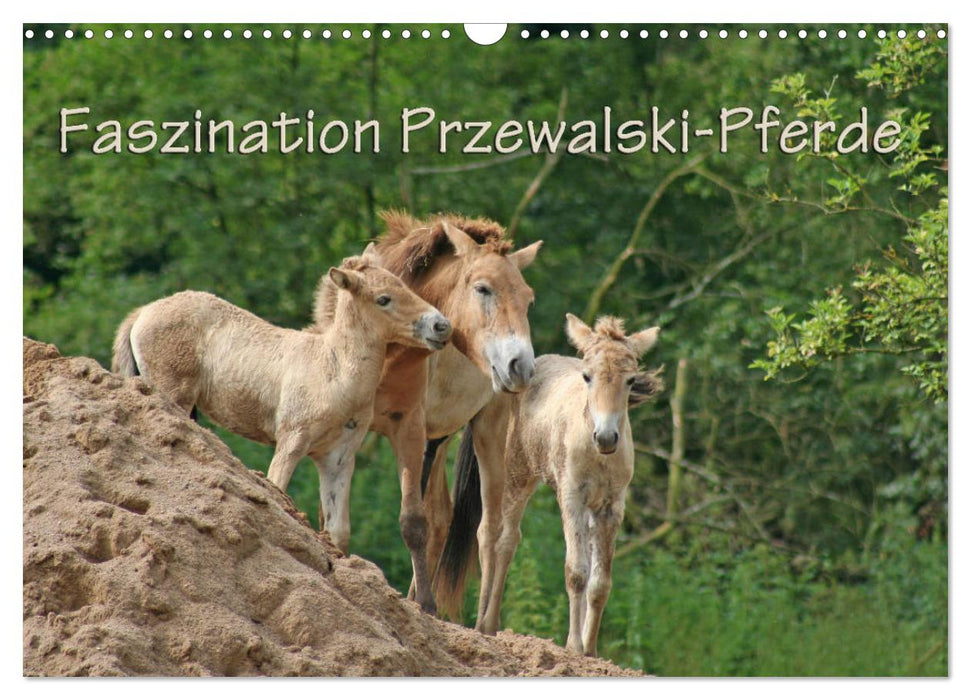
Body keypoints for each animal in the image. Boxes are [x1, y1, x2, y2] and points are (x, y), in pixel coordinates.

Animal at [111, 253, 452, 556]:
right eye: (383, 299)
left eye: (403, 285)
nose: (441, 326)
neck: (334, 369)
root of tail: (143, 312)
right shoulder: (291, 441)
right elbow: (277, 489)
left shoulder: (338, 457)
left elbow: (337, 532)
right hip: (173, 395)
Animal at [309, 211, 542, 614]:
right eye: (483, 289)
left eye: (528, 300)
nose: (521, 367)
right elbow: (331, 511)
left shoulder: (410, 430)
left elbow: (413, 522)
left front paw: (427, 606)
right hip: (438, 439)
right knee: (442, 517)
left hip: (486, 431)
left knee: (491, 532)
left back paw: (482, 621)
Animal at [435, 313, 663, 656]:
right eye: (587, 377)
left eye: (631, 380)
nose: (606, 437)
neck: (595, 452)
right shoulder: (571, 499)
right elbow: (576, 573)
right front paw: (573, 646)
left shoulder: (611, 507)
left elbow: (600, 583)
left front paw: (591, 651)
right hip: (513, 476)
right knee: (497, 537)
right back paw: (485, 624)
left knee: (507, 540)